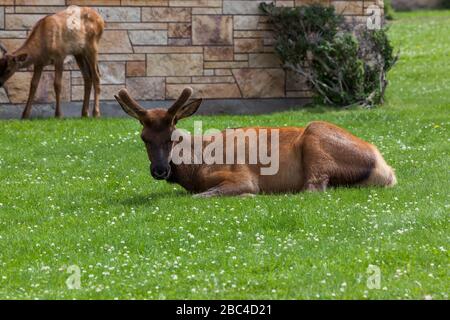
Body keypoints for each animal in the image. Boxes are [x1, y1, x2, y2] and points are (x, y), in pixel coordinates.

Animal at [114, 87, 396, 198]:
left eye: (174, 135)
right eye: (144, 138)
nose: (160, 170)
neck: (194, 169)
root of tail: (387, 170)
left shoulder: (241, 176)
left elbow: (201, 196)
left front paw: (248, 195)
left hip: (315, 139)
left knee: (312, 188)